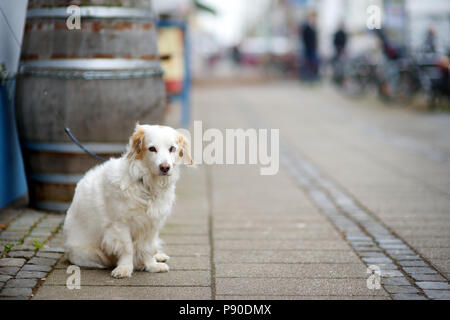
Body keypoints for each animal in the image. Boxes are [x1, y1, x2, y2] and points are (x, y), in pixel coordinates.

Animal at [62, 124, 192, 278]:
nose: (165, 167)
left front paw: (151, 265)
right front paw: (125, 268)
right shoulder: (120, 225)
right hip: (93, 255)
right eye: (152, 149)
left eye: (172, 148)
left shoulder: (151, 225)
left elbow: (147, 248)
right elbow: (127, 248)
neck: (145, 184)